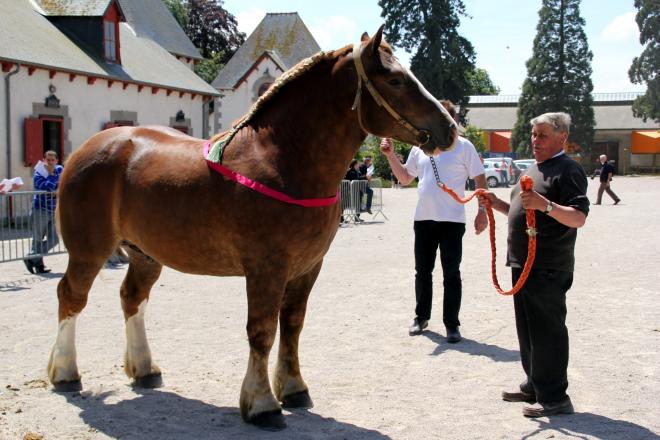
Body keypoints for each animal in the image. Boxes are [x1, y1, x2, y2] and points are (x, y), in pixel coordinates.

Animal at [47, 27, 458, 430]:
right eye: (395, 79)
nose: (450, 128)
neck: (283, 160)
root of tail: (87, 149)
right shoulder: (266, 268)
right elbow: (262, 331)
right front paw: (262, 404)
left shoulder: (308, 268)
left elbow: (292, 325)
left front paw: (293, 388)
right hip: (89, 251)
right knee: (71, 296)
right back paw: (65, 372)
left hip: (145, 254)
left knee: (132, 298)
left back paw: (144, 369)